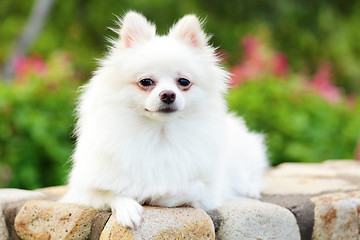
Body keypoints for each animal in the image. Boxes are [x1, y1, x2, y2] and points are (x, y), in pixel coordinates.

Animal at [60, 11, 268, 228]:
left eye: (183, 81)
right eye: (146, 82)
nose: (168, 94)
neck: (160, 134)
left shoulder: (209, 190)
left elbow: (184, 188)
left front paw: (154, 195)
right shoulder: (85, 190)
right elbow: (111, 192)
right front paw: (128, 208)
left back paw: (251, 189)